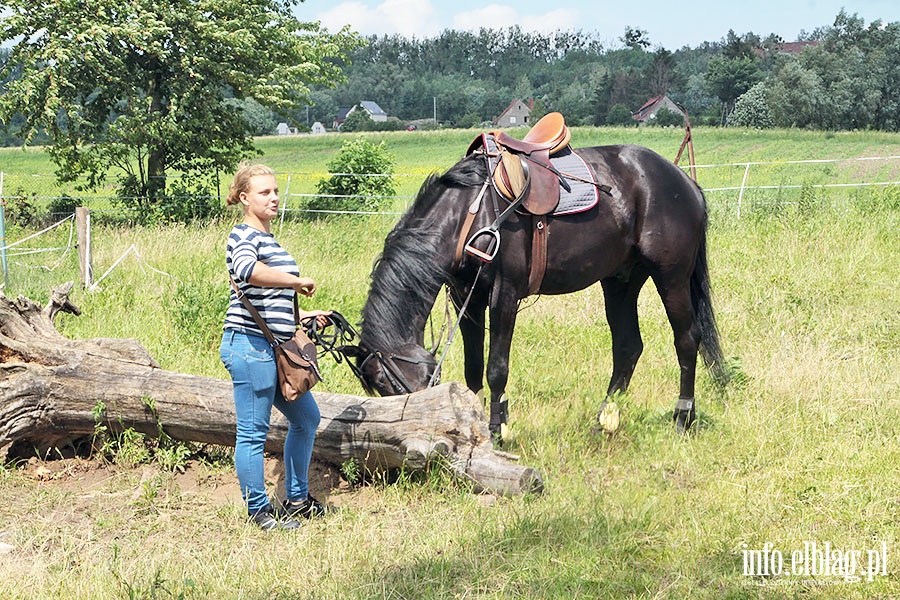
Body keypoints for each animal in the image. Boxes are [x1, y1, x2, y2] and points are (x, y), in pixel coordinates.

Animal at [342, 143, 728, 438]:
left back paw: (682, 419)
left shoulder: (504, 295)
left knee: (687, 340)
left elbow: (496, 368)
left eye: (388, 383)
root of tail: (685, 181)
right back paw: (603, 421)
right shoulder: (468, 298)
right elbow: (472, 368)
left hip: (671, 277)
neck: (469, 213)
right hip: (621, 282)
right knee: (628, 347)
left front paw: (497, 431)